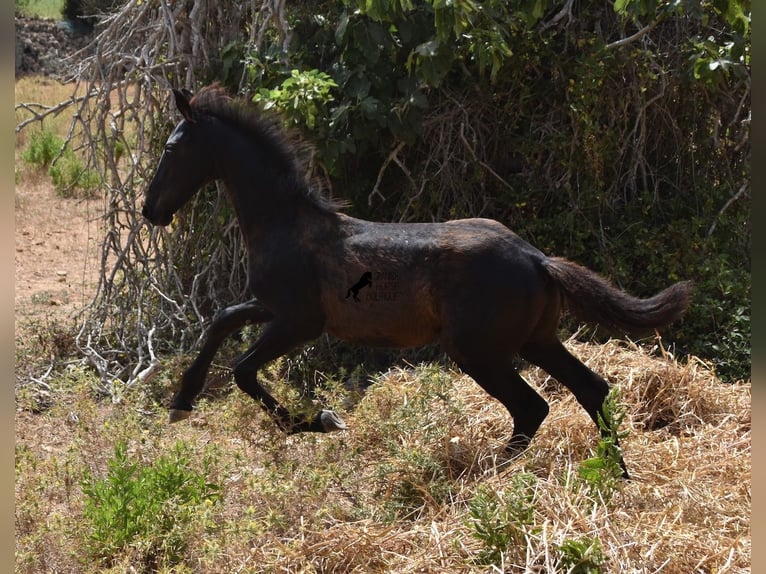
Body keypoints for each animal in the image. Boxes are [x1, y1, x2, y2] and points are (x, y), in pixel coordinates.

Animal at [141, 84, 692, 476]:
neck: (287, 224)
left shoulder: (300, 322)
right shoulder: (274, 308)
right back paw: (617, 476)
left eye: (170, 149)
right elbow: (221, 320)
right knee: (590, 389)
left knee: (532, 406)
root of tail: (538, 260)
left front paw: (319, 421)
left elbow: (242, 370)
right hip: (535, 340)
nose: (151, 211)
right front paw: (181, 403)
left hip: (477, 350)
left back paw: (486, 475)